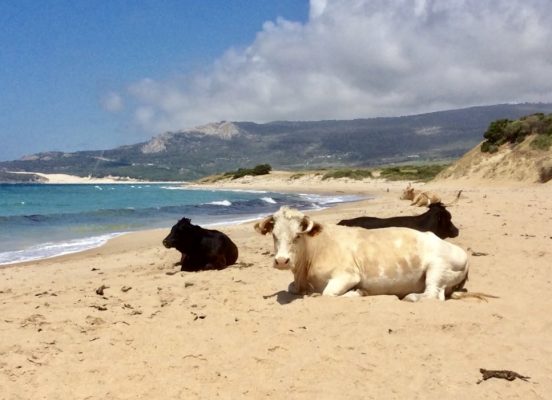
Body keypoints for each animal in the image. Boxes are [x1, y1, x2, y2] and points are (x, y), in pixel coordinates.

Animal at [256, 206, 490, 300]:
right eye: (274, 235)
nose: (282, 261)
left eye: (298, 235)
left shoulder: (348, 275)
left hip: (438, 268)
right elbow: (291, 288)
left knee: (433, 295)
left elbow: (327, 293)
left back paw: (409, 296)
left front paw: (359, 292)